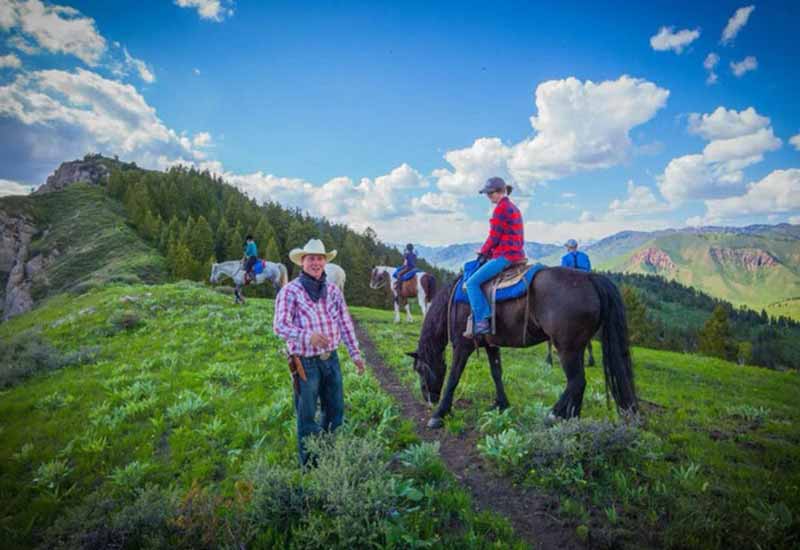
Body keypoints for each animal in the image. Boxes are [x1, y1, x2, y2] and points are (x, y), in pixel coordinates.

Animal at [406, 268, 636, 432]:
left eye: (420, 370)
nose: (428, 399)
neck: (454, 302)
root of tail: (590, 278)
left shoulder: (462, 346)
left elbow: (453, 377)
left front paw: (439, 414)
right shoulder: (491, 345)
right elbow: (496, 373)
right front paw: (501, 405)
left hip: (567, 348)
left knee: (576, 381)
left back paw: (554, 415)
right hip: (577, 348)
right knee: (579, 383)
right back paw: (571, 420)